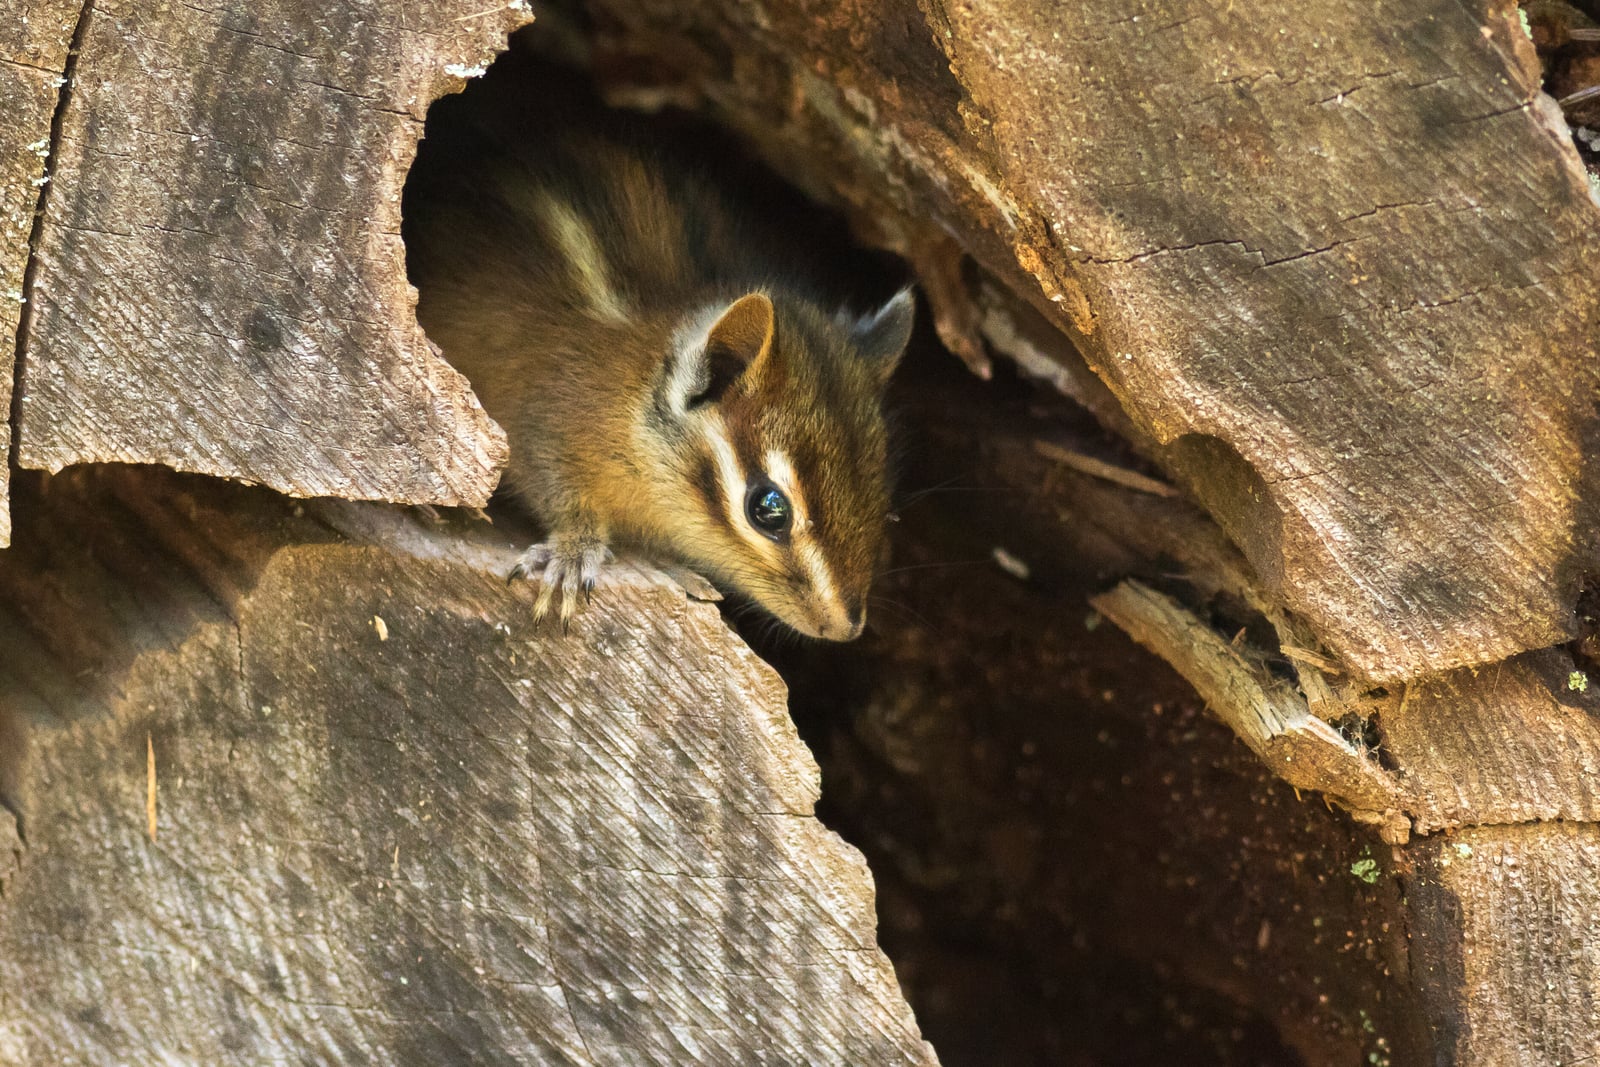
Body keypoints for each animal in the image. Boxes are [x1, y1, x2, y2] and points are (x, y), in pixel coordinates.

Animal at [403, 61, 913, 641]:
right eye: (769, 509)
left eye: (883, 497)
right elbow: (562, 496)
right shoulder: (541, 427)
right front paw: (573, 551)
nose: (845, 628)